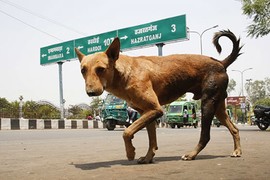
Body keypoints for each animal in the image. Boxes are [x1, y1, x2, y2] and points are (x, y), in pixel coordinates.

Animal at [75, 30, 243, 164]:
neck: (124, 73)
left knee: (205, 135)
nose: (90, 92)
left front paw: (130, 153)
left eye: (101, 69)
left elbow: (127, 131)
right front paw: (148, 158)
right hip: (218, 107)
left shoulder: (155, 110)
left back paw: (191, 154)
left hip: (207, 104)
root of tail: (221, 62)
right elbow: (152, 140)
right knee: (234, 129)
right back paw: (237, 151)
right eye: (83, 70)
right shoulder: (147, 112)